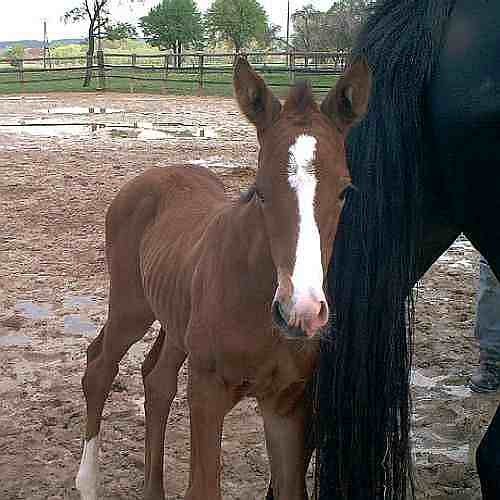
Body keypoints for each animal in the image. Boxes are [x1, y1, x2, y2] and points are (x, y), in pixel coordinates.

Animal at [74, 54, 372, 500]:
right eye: (260, 190)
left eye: (345, 192)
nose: (300, 311)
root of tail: (150, 176)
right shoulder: (207, 392)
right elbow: (203, 487)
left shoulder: (287, 404)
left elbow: (289, 486)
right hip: (132, 306)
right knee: (99, 369)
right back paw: (88, 482)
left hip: (174, 317)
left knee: (157, 380)